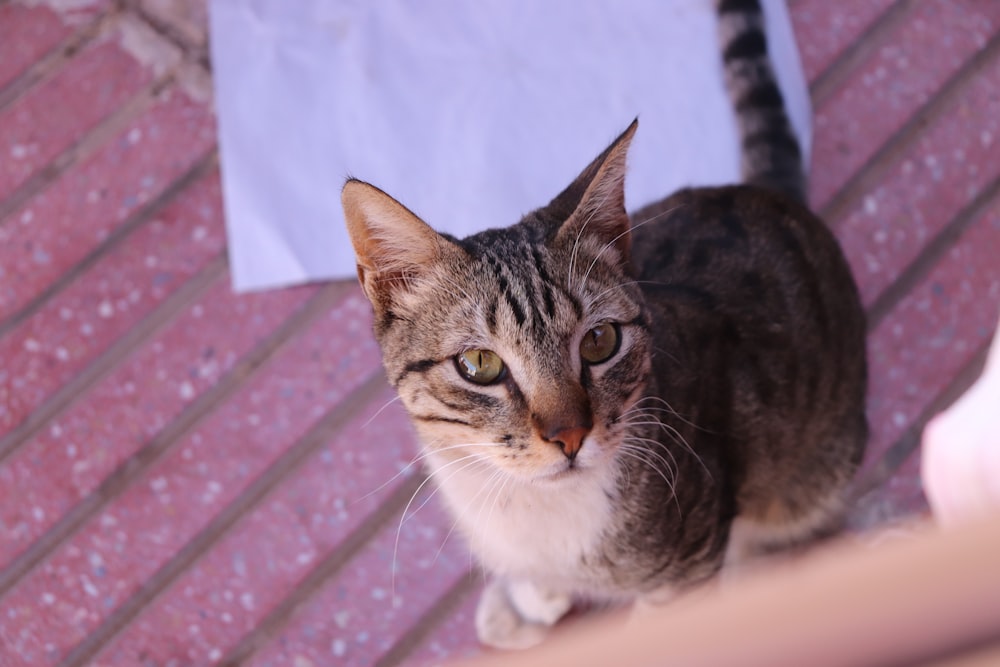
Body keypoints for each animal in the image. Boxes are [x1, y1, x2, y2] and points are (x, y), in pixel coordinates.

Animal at [340, 0, 864, 648]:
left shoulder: (690, 555)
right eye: (479, 364)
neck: (525, 506)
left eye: (599, 341)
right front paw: (526, 599)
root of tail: (761, 193)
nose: (569, 436)